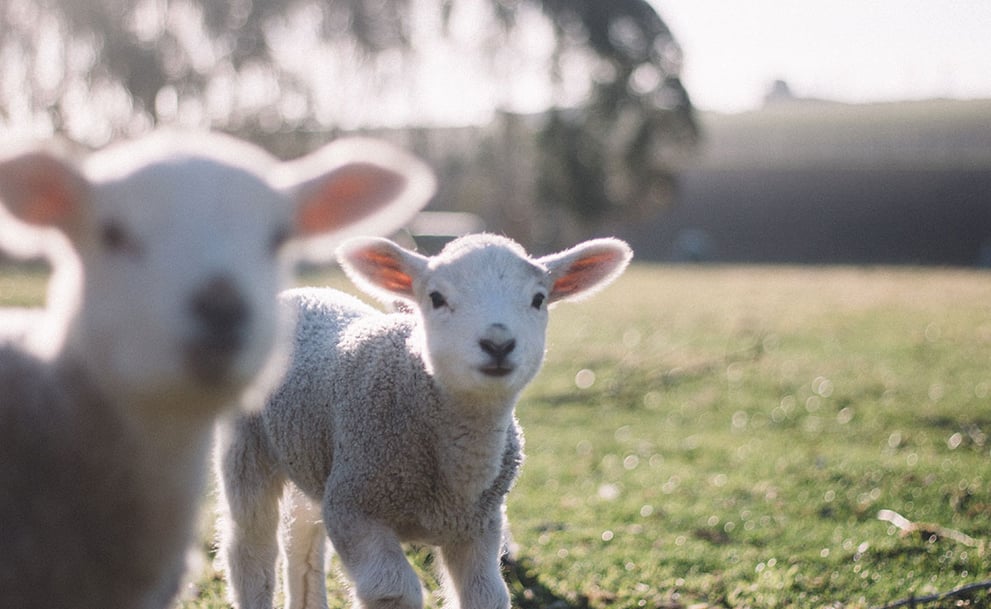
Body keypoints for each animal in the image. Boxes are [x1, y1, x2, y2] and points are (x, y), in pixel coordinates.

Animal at [218, 232, 636, 608]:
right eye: (436, 298)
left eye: (538, 299)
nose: (498, 344)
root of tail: (303, 293)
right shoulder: (353, 507)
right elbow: (393, 590)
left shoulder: (479, 526)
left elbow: (487, 595)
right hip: (247, 447)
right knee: (250, 549)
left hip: (313, 455)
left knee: (302, 540)